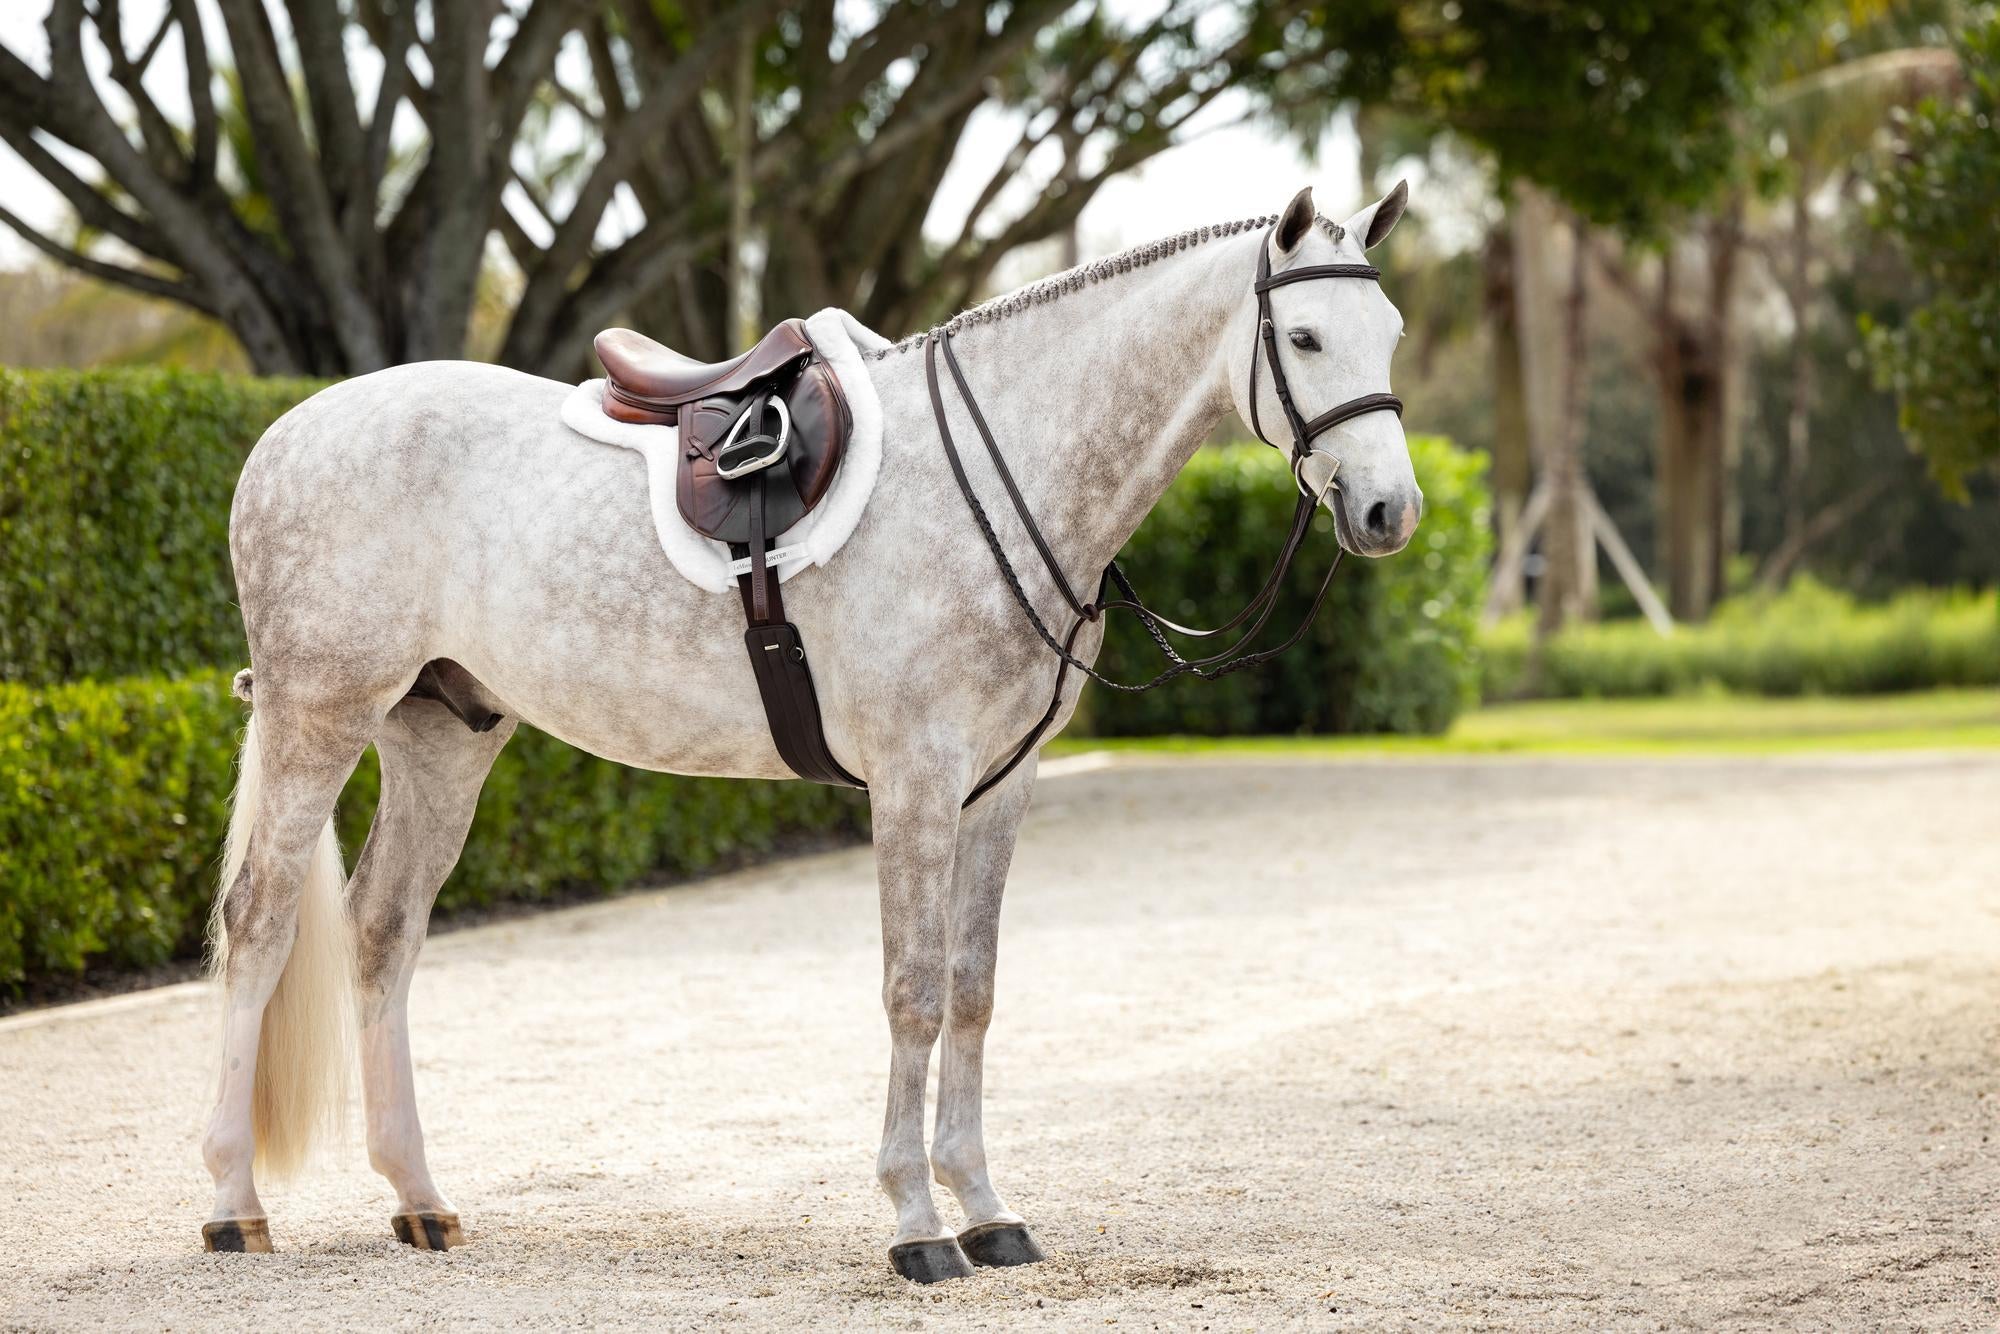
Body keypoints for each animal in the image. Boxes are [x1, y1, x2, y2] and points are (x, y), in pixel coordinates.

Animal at [200, 182, 1420, 1281]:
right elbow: (913, 991)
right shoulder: (915, 780)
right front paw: (917, 1223)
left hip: (443, 731)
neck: (1000, 471)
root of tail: (285, 432)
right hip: (322, 712)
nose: (1389, 512)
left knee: (382, 929)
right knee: (259, 922)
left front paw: (987, 1210)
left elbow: (974, 988)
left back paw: (418, 1198)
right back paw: (232, 1205)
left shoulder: (1001, 785)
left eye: (1390, 333)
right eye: (1303, 335)